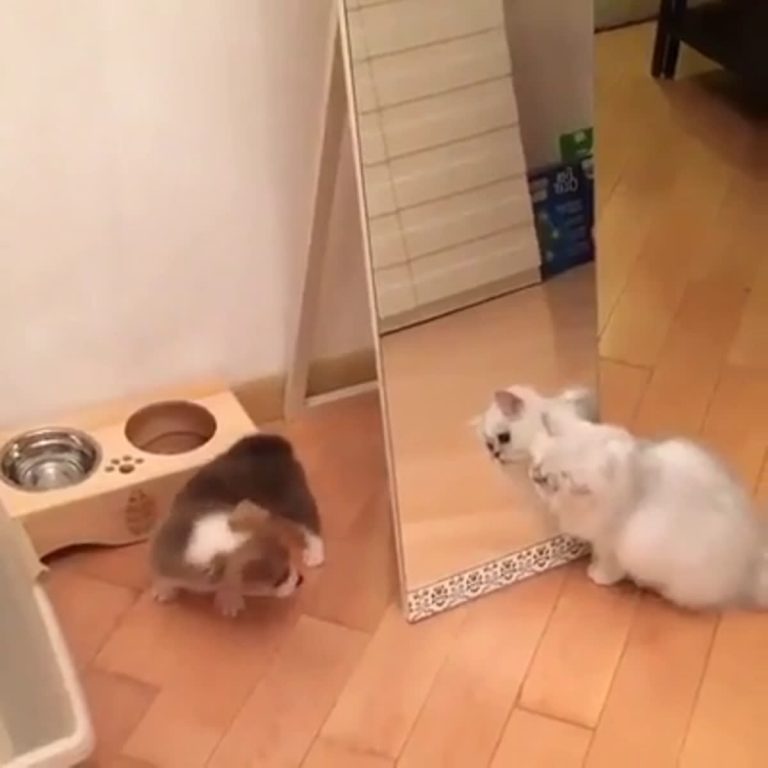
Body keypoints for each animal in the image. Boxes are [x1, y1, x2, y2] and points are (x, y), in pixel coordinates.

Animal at [529, 409, 768, 610]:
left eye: (554, 480)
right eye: (538, 465)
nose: (536, 477)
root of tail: (751, 562)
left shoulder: (611, 542)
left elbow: (608, 565)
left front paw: (597, 575)